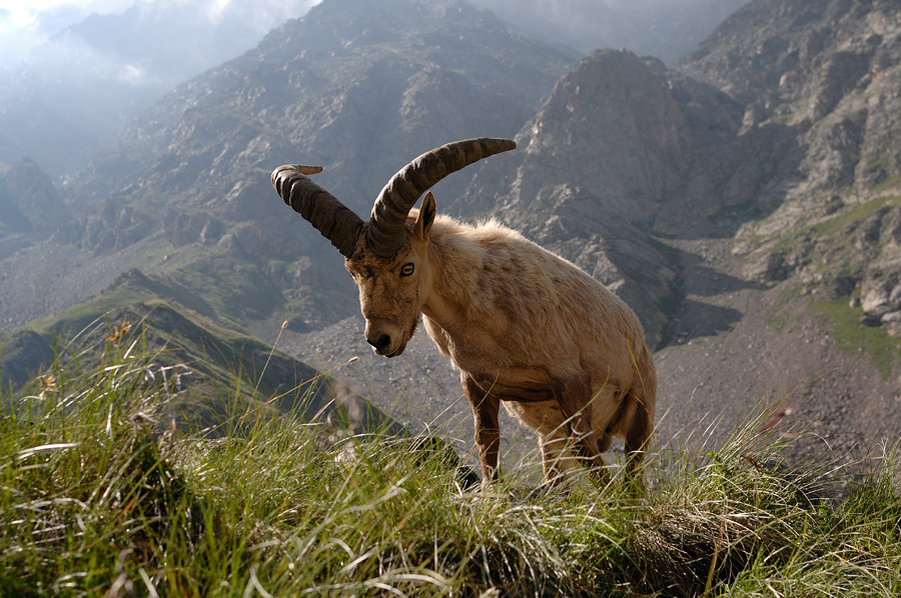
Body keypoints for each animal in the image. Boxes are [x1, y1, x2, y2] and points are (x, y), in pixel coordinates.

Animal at [270, 138, 656, 490]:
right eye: (352, 272)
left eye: (407, 267)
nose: (380, 339)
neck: (482, 314)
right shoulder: (476, 382)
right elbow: (487, 441)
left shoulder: (568, 378)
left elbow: (585, 448)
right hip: (547, 433)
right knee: (558, 469)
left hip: (640, 409)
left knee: (630, 464)